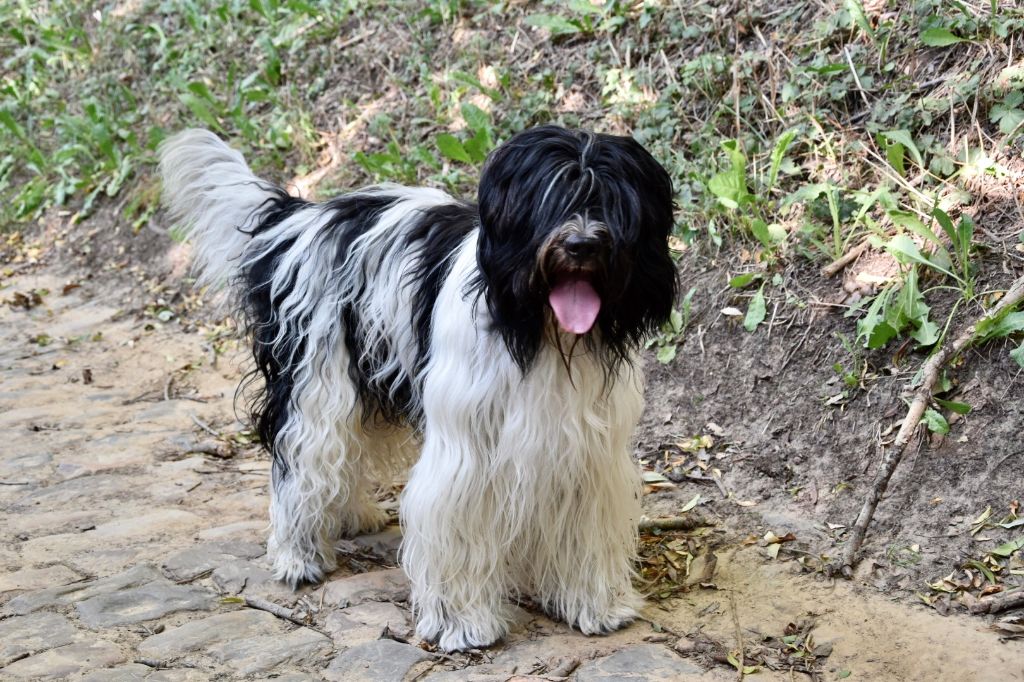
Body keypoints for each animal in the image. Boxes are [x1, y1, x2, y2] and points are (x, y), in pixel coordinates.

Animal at [158, 125, 677, 651]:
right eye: (550, 200)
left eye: (613, 203)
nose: (582, 245)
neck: (537, 331)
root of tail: (305, 215)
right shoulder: (467, 450)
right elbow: (458, 524)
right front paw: (462, 621)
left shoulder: (587, 451)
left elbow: (583, 526)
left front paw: (594, 604)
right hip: (317, 383)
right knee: (304, 463)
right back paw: (298, 554)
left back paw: (351, 513)